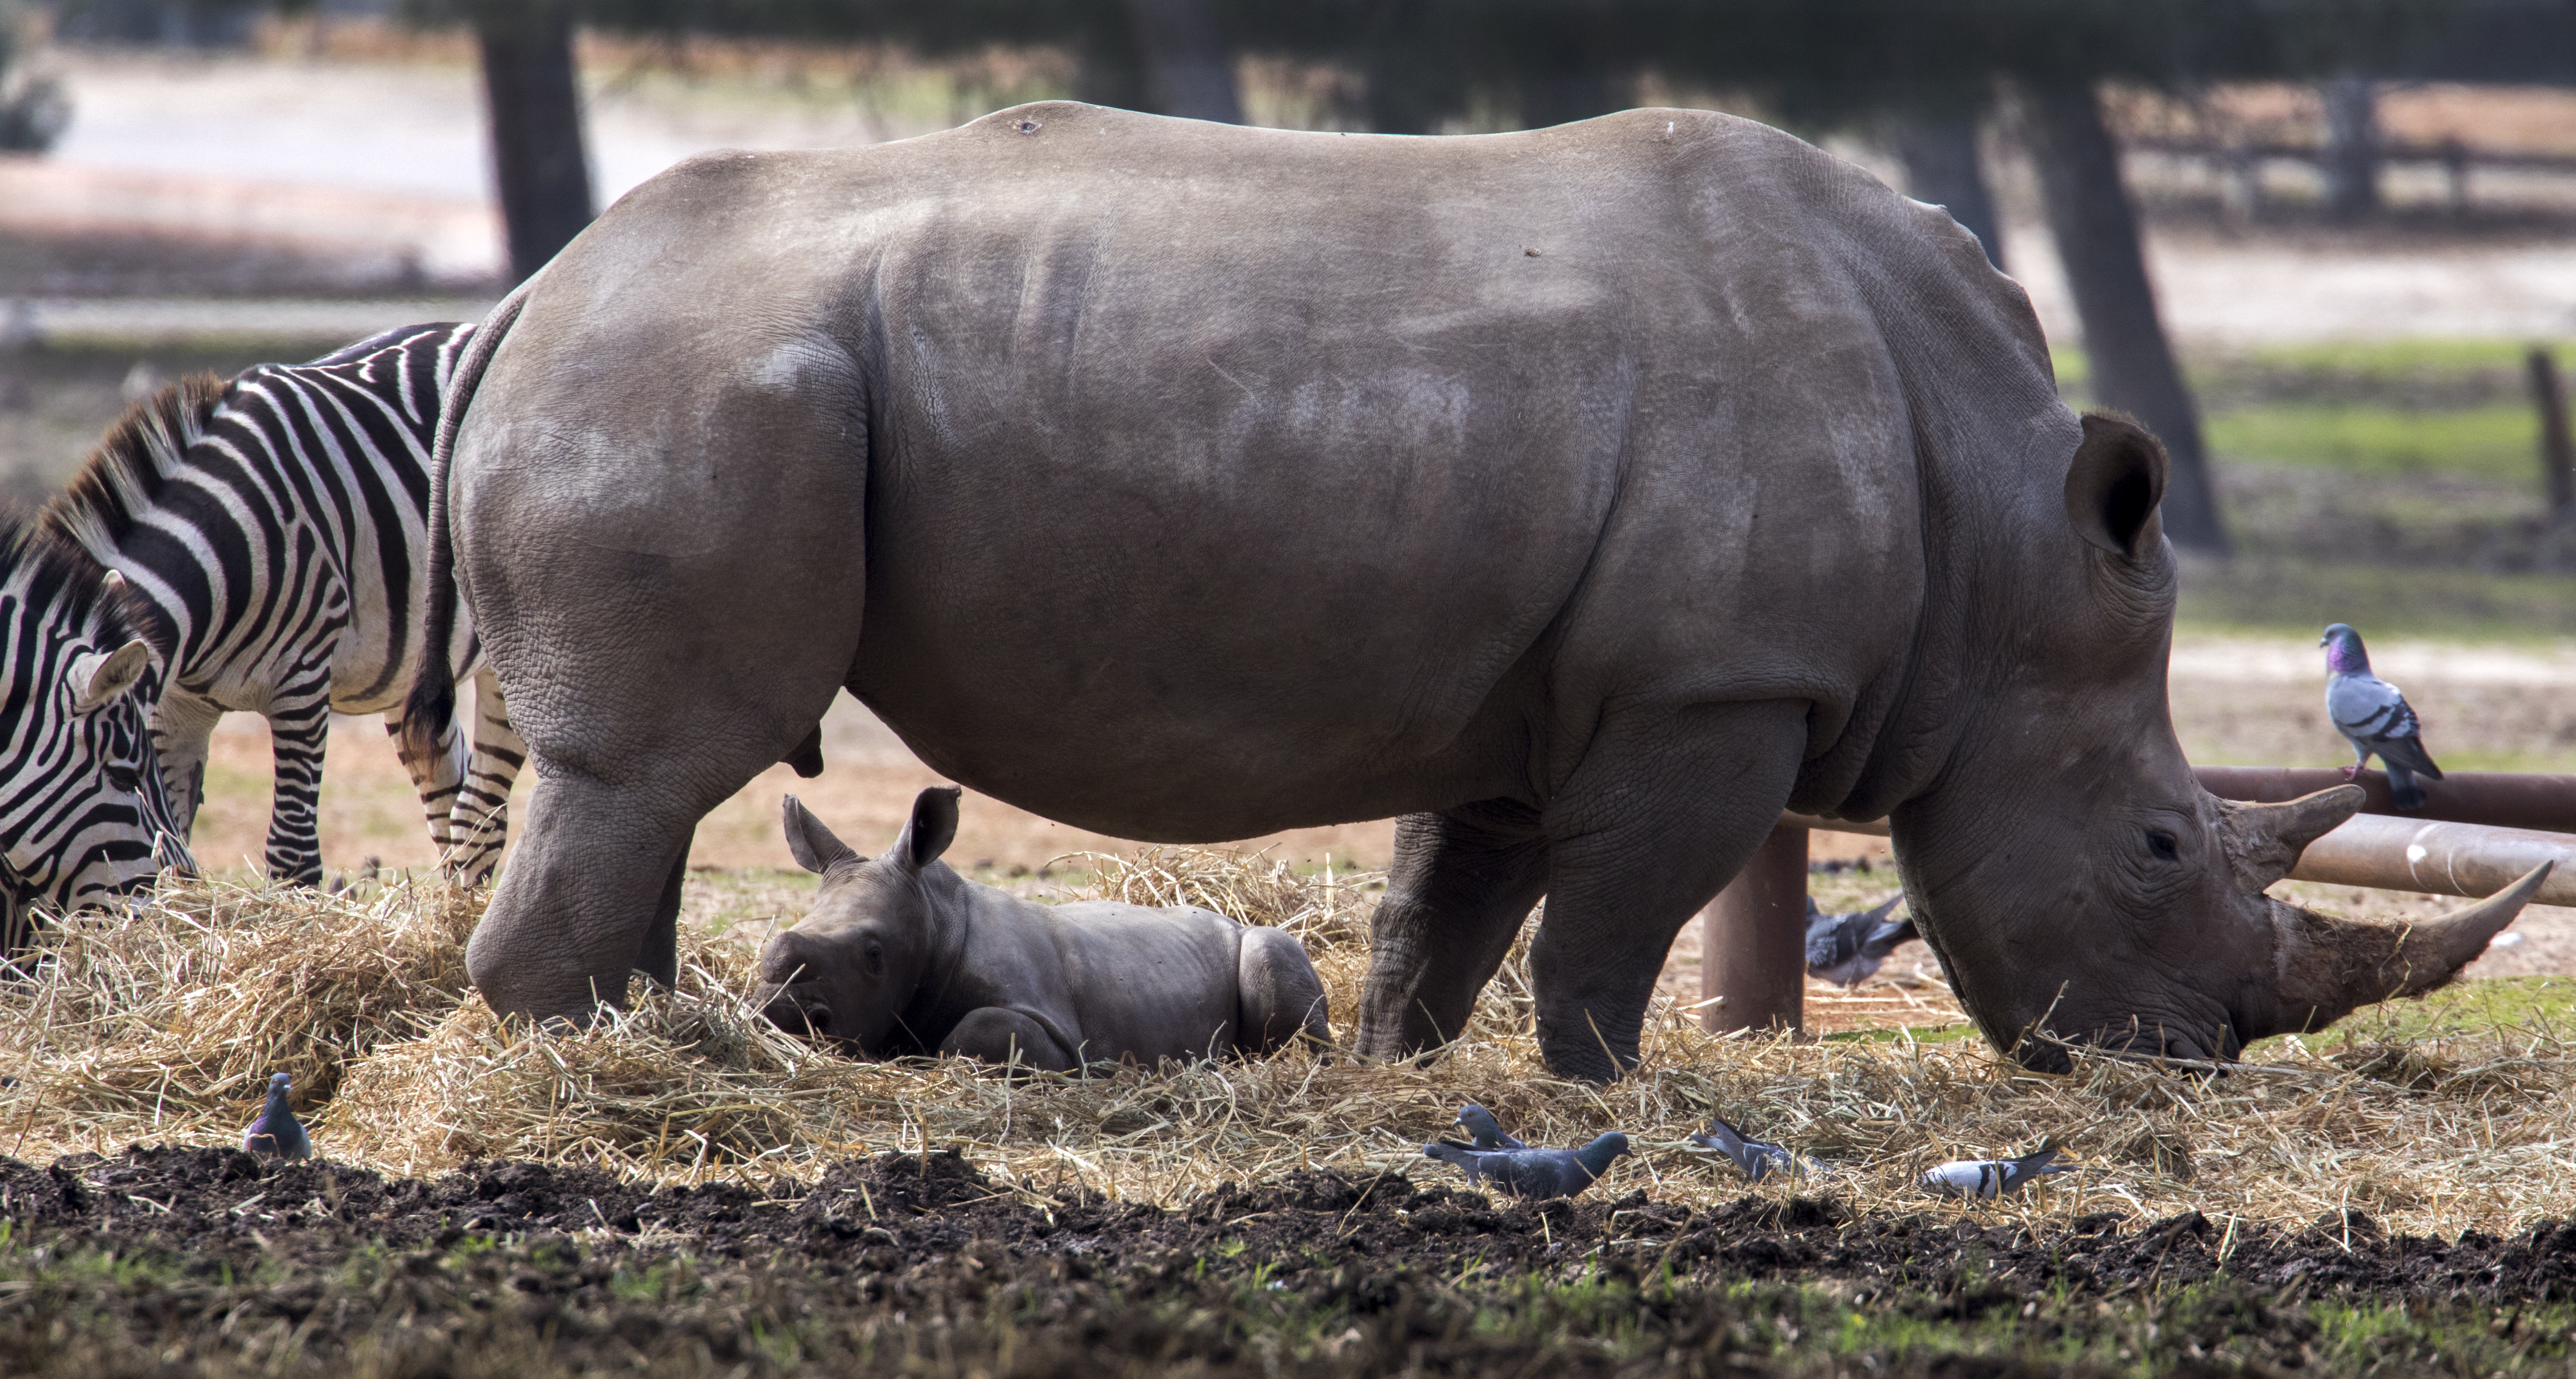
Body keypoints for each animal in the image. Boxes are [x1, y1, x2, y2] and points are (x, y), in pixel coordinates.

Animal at [1, 317, 528, 912]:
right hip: (411, 672)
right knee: (449, 791)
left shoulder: (301, 683)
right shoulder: (177, 707)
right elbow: (177, 824)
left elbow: (293, 857)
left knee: (482, 812)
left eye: (121, 770)